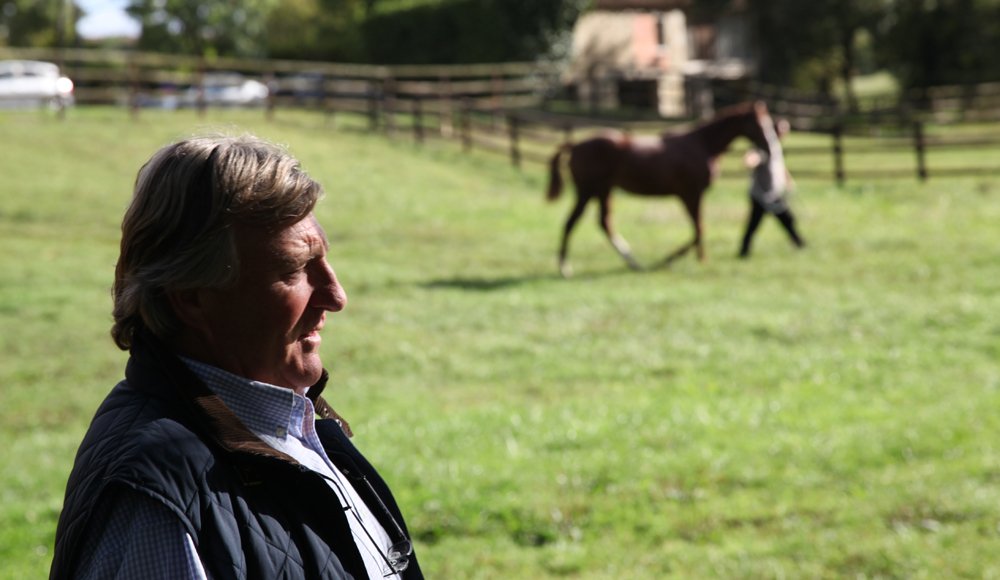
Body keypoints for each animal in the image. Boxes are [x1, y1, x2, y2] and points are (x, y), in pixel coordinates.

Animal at [552, 100, 776, 276]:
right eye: (759, 124)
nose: (769, 147)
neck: (702, 144)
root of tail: (575, 145)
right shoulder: (691, 194)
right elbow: (699, 229)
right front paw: (675, 259)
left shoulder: (693, 195)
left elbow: (698, 228)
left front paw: (697, 258)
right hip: (587, 190)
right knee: (571, 222)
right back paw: (564, 268)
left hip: (603, 191)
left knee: (604, 223)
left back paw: (633, 262)